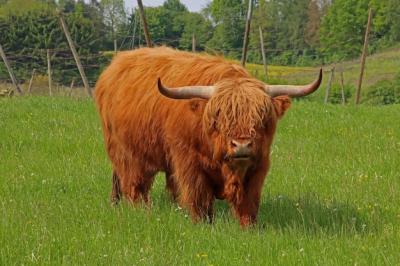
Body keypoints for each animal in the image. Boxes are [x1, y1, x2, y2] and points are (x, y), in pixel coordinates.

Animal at [94, 47, 322, 227]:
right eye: (218, 118)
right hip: (126, 152)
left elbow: (249, 201)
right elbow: (199, 198)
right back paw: (136, 209)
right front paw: (203, 225)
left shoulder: (259, 165)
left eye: (261, 117)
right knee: (132, 183)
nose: (242, 145)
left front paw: (249, 227)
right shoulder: (190, 163)